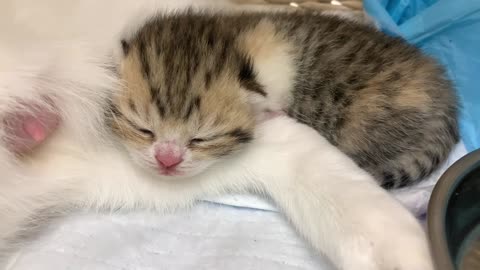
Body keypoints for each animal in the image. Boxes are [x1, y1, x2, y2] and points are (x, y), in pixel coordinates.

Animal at [110, 10, 460, 188]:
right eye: (143, 129)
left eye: (202, 138)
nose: (167, 160)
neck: (225, 40)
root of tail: (447, 99)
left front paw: (270, 113)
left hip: (363, 123)